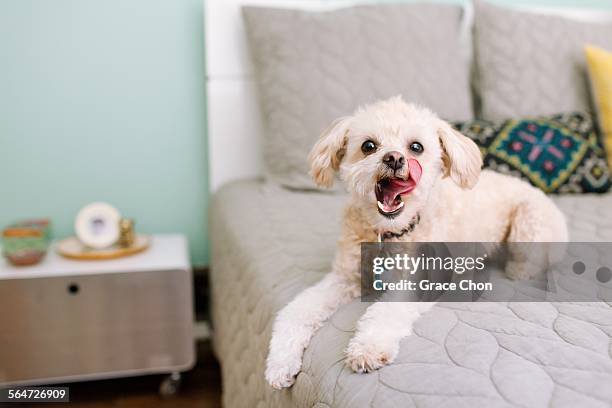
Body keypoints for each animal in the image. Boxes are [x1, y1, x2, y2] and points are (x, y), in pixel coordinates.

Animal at [266, 95, 568, 388]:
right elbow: (298, 311)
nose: (394, 158)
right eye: (368, 146)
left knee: (531, 263)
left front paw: (368, 347)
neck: (391, 233)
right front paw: (280, 362)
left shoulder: (420, 282)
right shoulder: (343, 279)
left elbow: (387, 310)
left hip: (529, 225)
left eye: (416, 147)